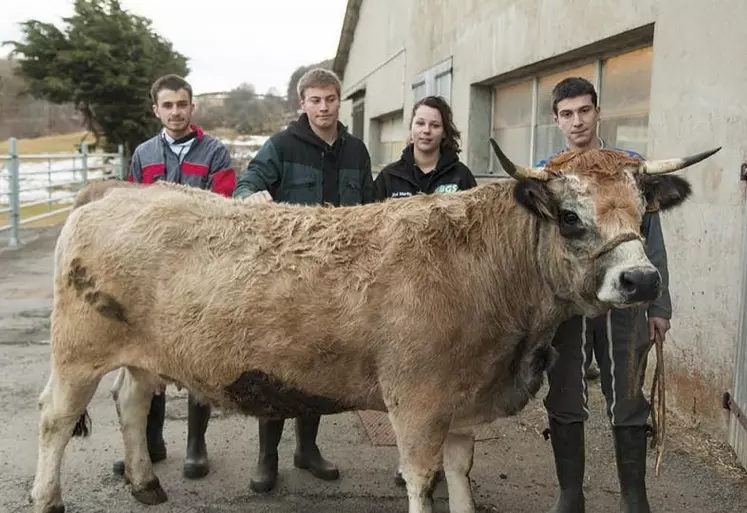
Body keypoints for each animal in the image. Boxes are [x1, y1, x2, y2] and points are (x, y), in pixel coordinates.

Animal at [29, 139, 720, 512]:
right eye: (572, 217)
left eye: (644, 210)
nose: (642, 281)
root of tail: (114, 190)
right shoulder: (416, 400)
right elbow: (421, 478)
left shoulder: (463, 401)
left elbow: (460, 474)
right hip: (77, 350)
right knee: (57, 419)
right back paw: (48, 496)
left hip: (143, 351)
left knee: (131, 401)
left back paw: (146, 484)